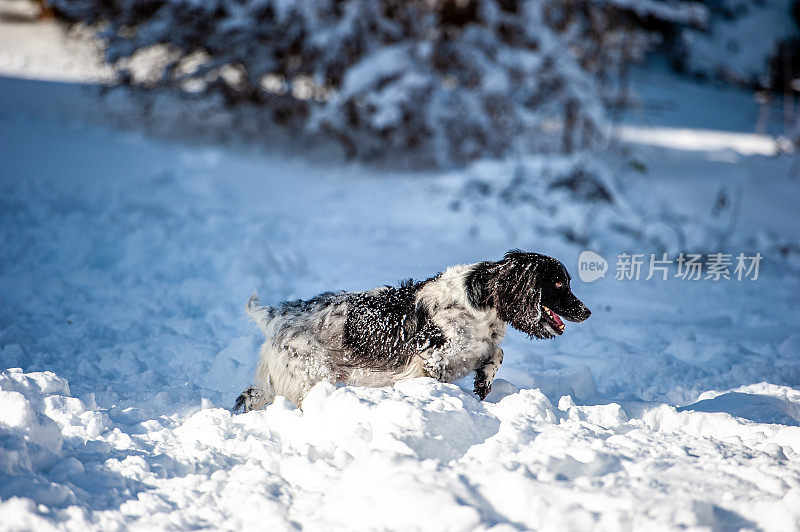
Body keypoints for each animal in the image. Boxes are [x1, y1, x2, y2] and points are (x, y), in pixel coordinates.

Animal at [234, 250, 592, 412]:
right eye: (558, 283)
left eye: (567, 281)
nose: (587, 312)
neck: (479, 302)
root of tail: (275, 315)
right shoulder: (429, 360)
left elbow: (496, 353)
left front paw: (484, 383)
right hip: (311, 374)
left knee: (250, 396)